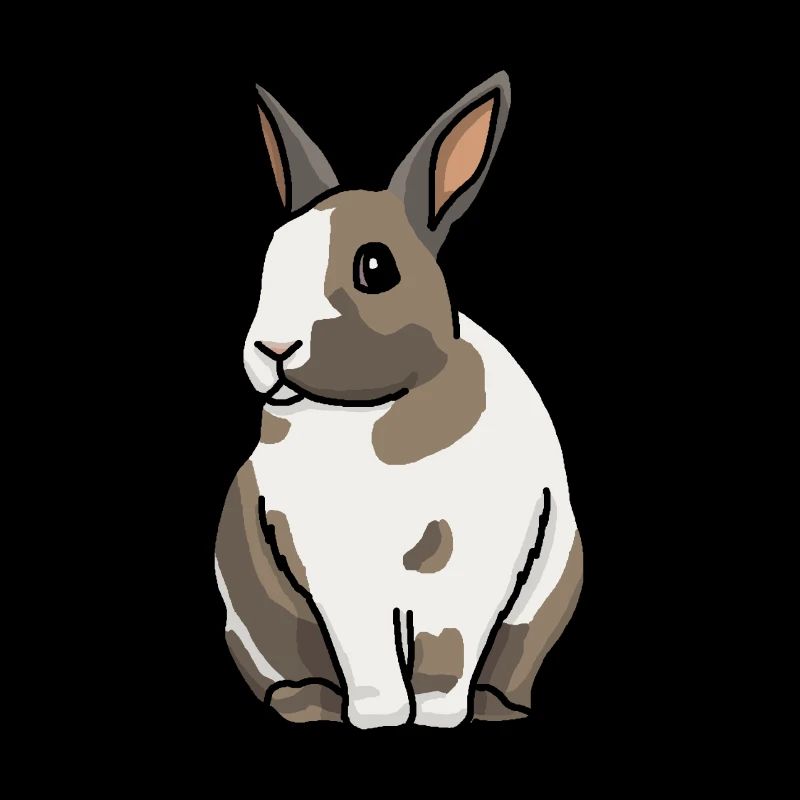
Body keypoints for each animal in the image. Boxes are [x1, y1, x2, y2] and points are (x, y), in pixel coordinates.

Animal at [215, 71, 583, 729]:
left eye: (375, 267)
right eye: (269, 263)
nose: (274, 348)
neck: (376, 410)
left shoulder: (477, 564)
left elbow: (449, 648)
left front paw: (436, 716)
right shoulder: (336, 571)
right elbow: (367, 651)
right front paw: (380, 718)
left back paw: (495, 708)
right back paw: (308, 705)